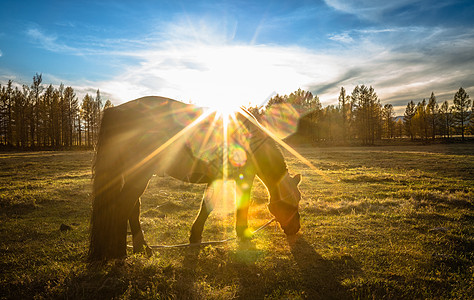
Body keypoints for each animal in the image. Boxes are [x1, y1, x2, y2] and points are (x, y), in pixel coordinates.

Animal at [89, 96, 302, 260]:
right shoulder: (244, 179)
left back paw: (141, 248)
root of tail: (117, 110)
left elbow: (206, 206)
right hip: (140, 174)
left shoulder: (216, 179)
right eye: (292, 202)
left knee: (133, 208)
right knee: (125, 205)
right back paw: (121, 252)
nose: (295, 228)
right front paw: (243, 233)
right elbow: (239, 205)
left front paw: (195, 236)